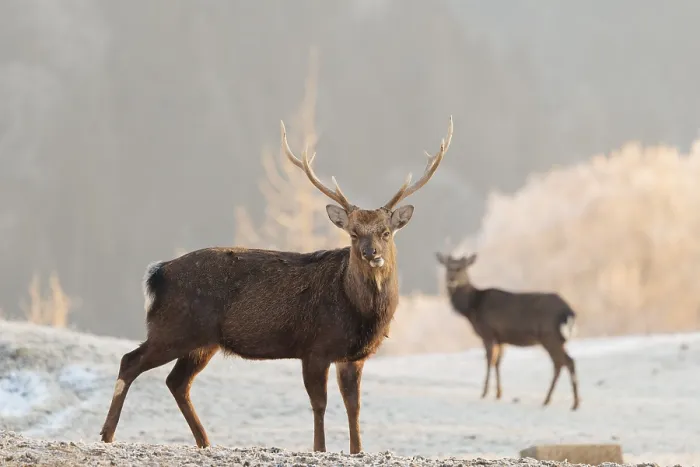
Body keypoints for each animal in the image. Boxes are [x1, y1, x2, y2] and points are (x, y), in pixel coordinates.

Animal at [99, 116, 453, 454]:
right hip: (173, 328)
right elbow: (319, 403)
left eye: (385, 232)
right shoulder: (315, 346)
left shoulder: (353, 355)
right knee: (130, 361)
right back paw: (107, 434)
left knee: (176, 381)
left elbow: (354, 406)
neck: (360, 312)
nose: (371, 254)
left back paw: (205, 441)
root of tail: (157, 273)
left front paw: (357, 450)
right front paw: (320, 448)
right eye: (353, 233)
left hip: (202, 340)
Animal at [435, 252, 580, 411]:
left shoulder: (488, 332)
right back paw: (570, 402)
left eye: (461, 268)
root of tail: (568, 311)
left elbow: (489, 361)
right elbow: (498, 362)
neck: (472, 308)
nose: (451, 279)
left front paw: (484, 393)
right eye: (447, 267)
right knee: (567, 361)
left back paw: (557, 401)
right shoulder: (501, 337)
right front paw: (498, 394)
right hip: (558, 338)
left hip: (549, 335)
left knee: (562, 362)